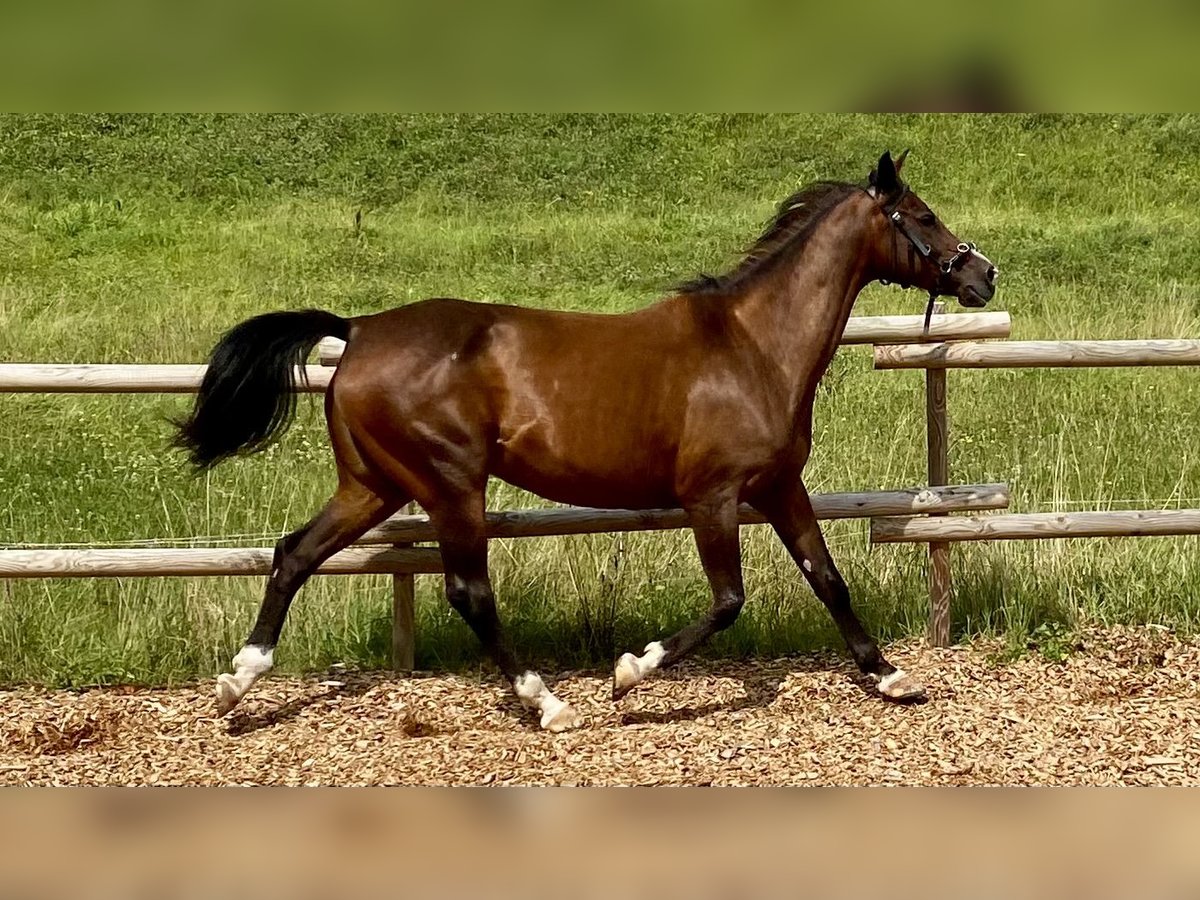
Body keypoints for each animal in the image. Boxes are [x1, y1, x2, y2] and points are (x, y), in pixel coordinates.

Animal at [175, 150, 998, 731]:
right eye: (922, 215)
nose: (984, 275)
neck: (753, 346)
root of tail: (359, 330)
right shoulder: (712, 496)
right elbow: (728, 600)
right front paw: (628, 673)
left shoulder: (777, 485)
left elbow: (828, 578)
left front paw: (892, 677)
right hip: (449, 485)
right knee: (468, 592)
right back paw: (548, 704)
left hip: (375, 485)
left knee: (294, 553)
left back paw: (234, 685)